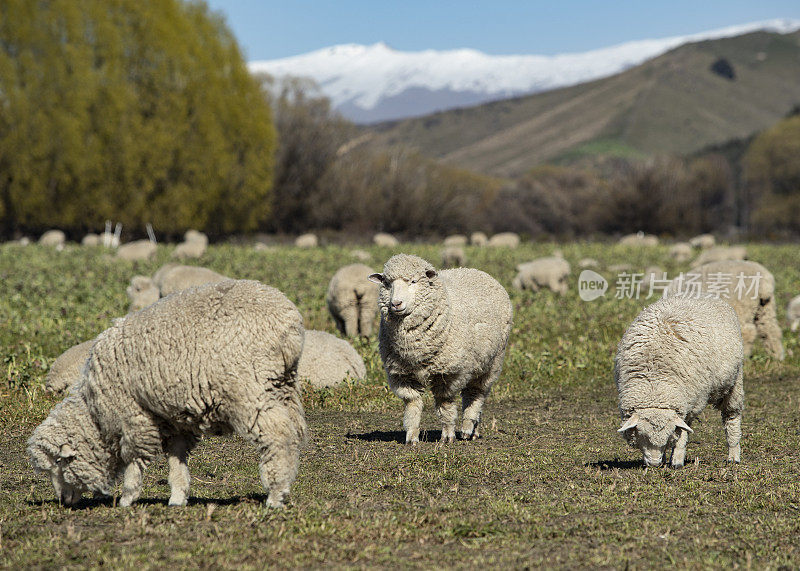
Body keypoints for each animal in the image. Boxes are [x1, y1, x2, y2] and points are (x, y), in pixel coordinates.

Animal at [28, 280, 306, 508]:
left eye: (59, 463)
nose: (63, 501)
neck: (96, 417)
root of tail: (289, 323)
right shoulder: (174, 418)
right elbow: (176, 457)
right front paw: (178, 497)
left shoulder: (132, 415)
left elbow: (135, 457)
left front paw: (128, 497)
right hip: (281, 386)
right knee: (293, 432)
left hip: (249, 389)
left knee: (278, 436)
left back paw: (275, 494)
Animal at [368, 255, 512, 446]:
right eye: (387, 283)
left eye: (413, 281)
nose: (396, 303)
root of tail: (476, 270)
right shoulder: (402, 374)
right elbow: (412, 404)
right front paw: (412, 437)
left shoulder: (448, 374)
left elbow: (445, 404)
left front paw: (448, 436)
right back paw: (474, 430)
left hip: (491, 363)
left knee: (475, 394)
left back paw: (468, 429)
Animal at [620, 294, 744, 470]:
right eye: (642, 434)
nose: (654, 464)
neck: (654, 386)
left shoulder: (689, 405)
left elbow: (682, 434)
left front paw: (677, 460)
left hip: (734, 382)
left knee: (731, 416)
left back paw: (733, 455)